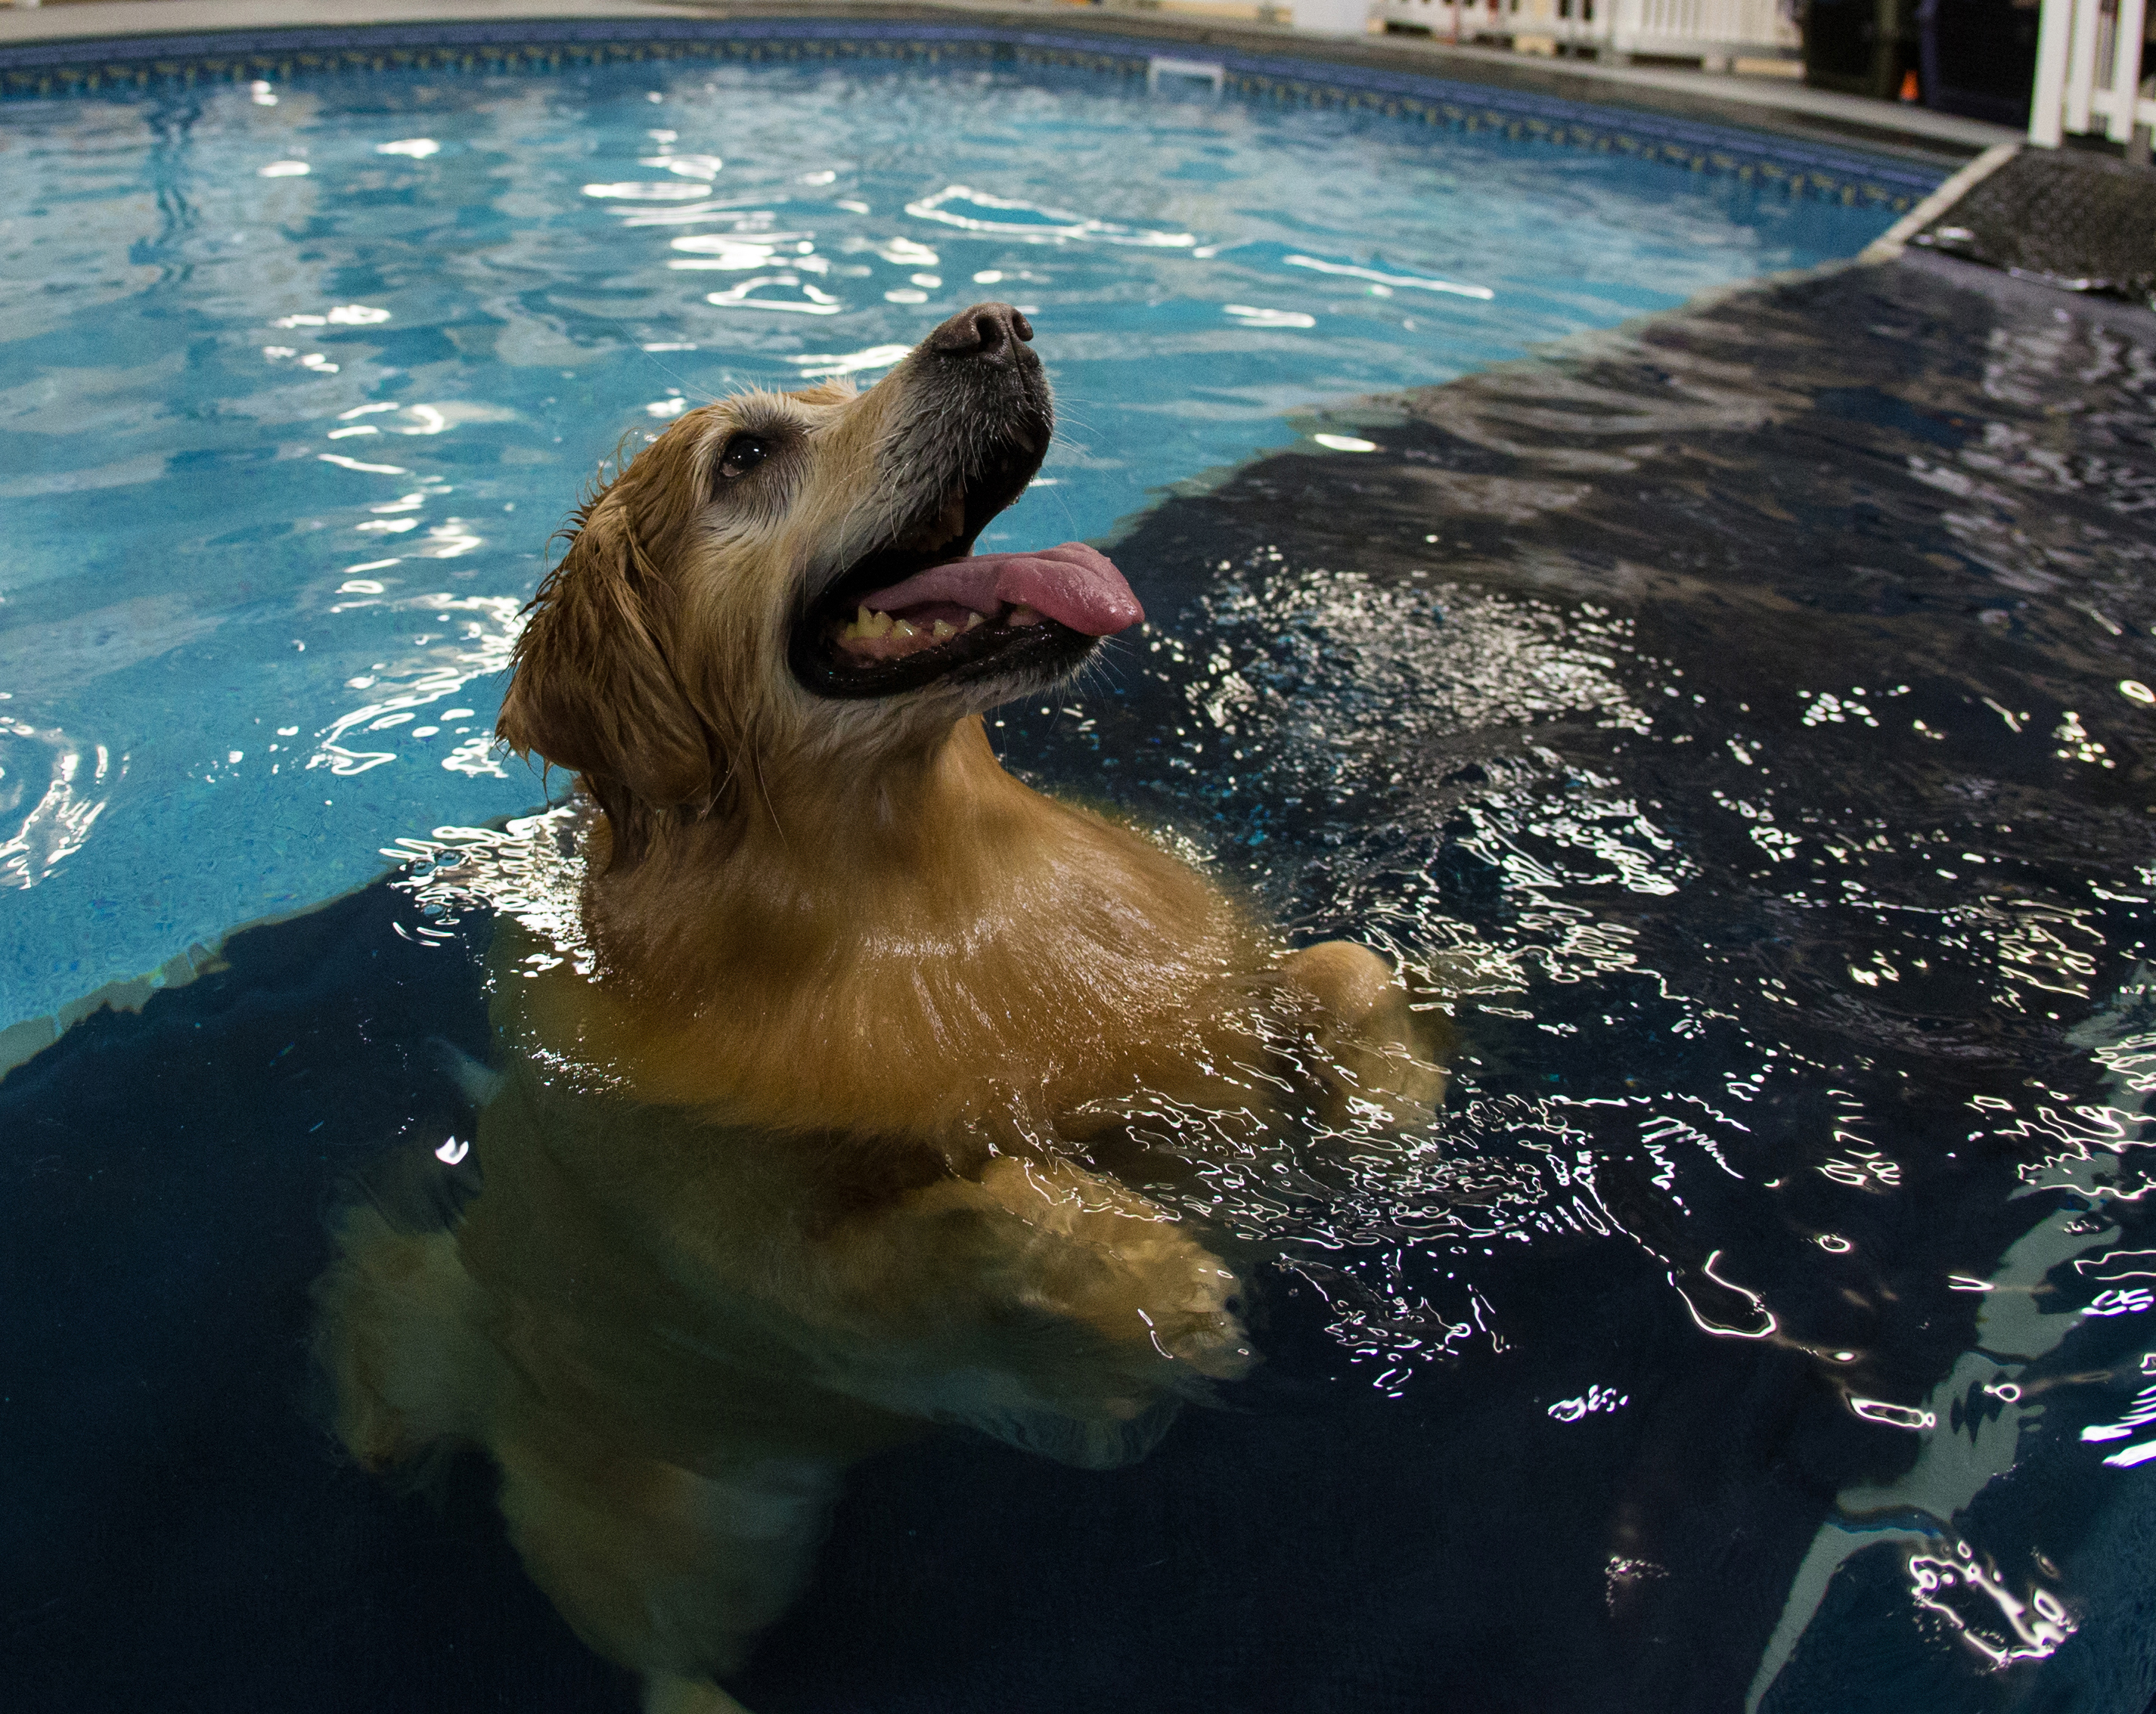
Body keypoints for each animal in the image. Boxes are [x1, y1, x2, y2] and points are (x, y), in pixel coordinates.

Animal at [315, 308, 1432, 1714]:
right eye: (743, 457)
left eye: (839, 391)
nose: (994, 325)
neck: (928, 884)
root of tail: (479, 1363)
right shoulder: (790, 1281)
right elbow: (983, 1197)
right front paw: (1152, 1276)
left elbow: (1343, 966)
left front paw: (1392, 1109)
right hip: (675, 1521)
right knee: (668, 1665)